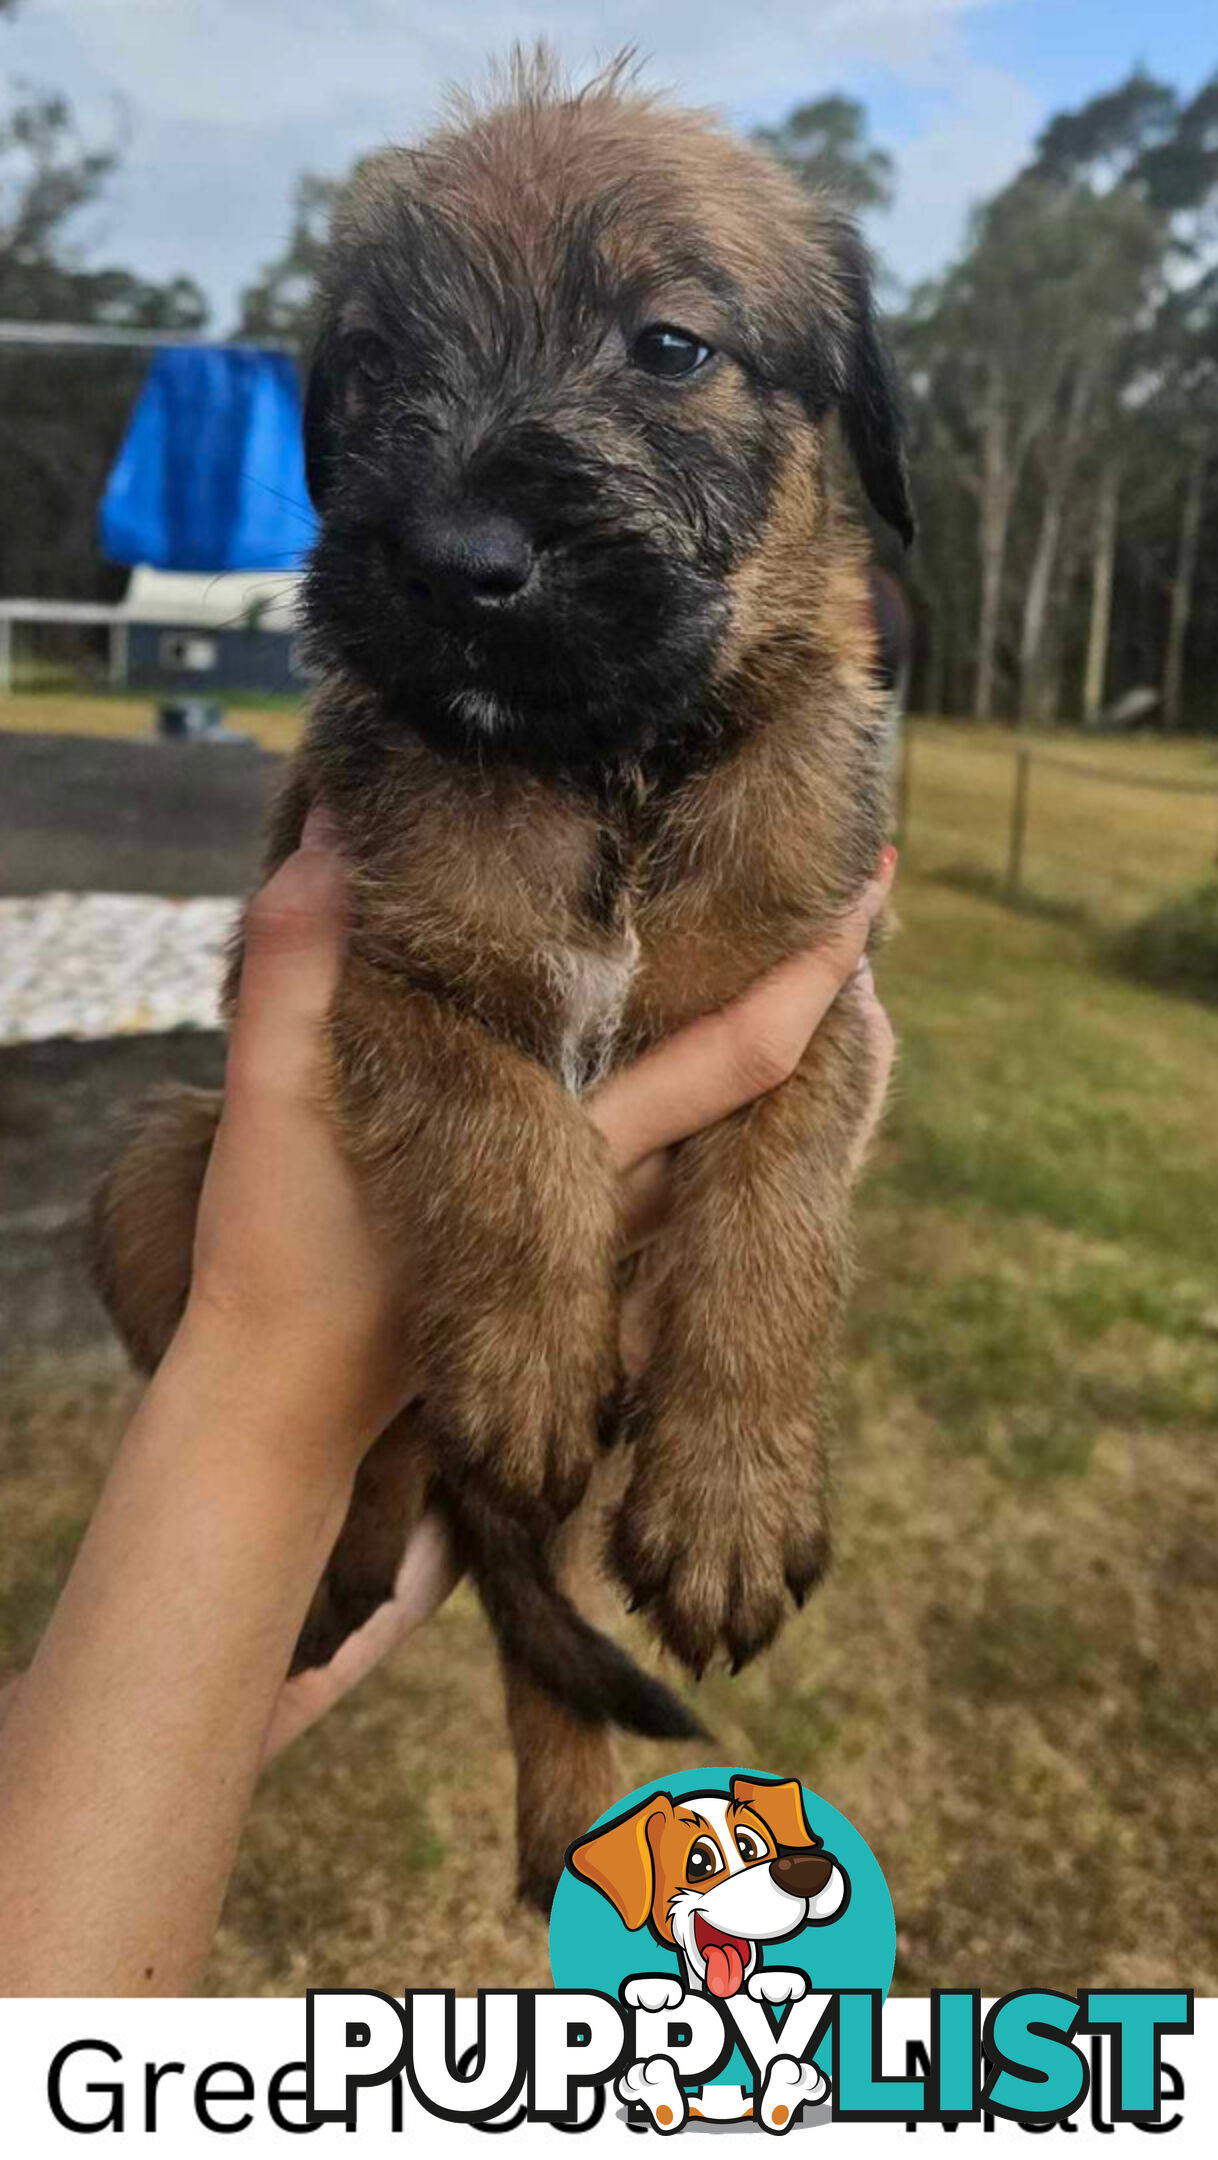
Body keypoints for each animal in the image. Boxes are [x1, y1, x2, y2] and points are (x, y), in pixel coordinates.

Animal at [92, 50, 915, 1909]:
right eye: (378, 366)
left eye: (667, 346)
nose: (455, 559)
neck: (606, 767)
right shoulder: (380, 969)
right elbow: (505, 1126)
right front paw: (531, 1359)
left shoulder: (820, 1004)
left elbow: (771, 1221)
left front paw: (731, 1494)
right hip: (152, 1166)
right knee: (427, 1500)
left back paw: (574, 1824)